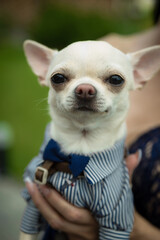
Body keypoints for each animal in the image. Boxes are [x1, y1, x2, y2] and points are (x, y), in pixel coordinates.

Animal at [19, 39, 160, 240]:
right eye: (57, 78)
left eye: (116, 79)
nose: (84, 88)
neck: (82, 143)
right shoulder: (33, 201)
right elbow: (27, 231)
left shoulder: (116, 221)